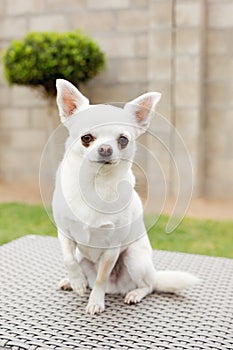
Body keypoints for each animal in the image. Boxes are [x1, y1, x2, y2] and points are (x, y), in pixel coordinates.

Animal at [52, 78, 198, 314]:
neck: (96, 184)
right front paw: (76, 282)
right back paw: (72, 282)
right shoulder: (64, 232)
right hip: (84, 256)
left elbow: (101, 278)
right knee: (82, 267)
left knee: (148, 286)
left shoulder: (112, 248)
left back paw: (134, 294)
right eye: (86, 138)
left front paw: (96, 301)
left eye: (123, 140)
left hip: (134, 258)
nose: (105, 148)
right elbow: (68, 259)